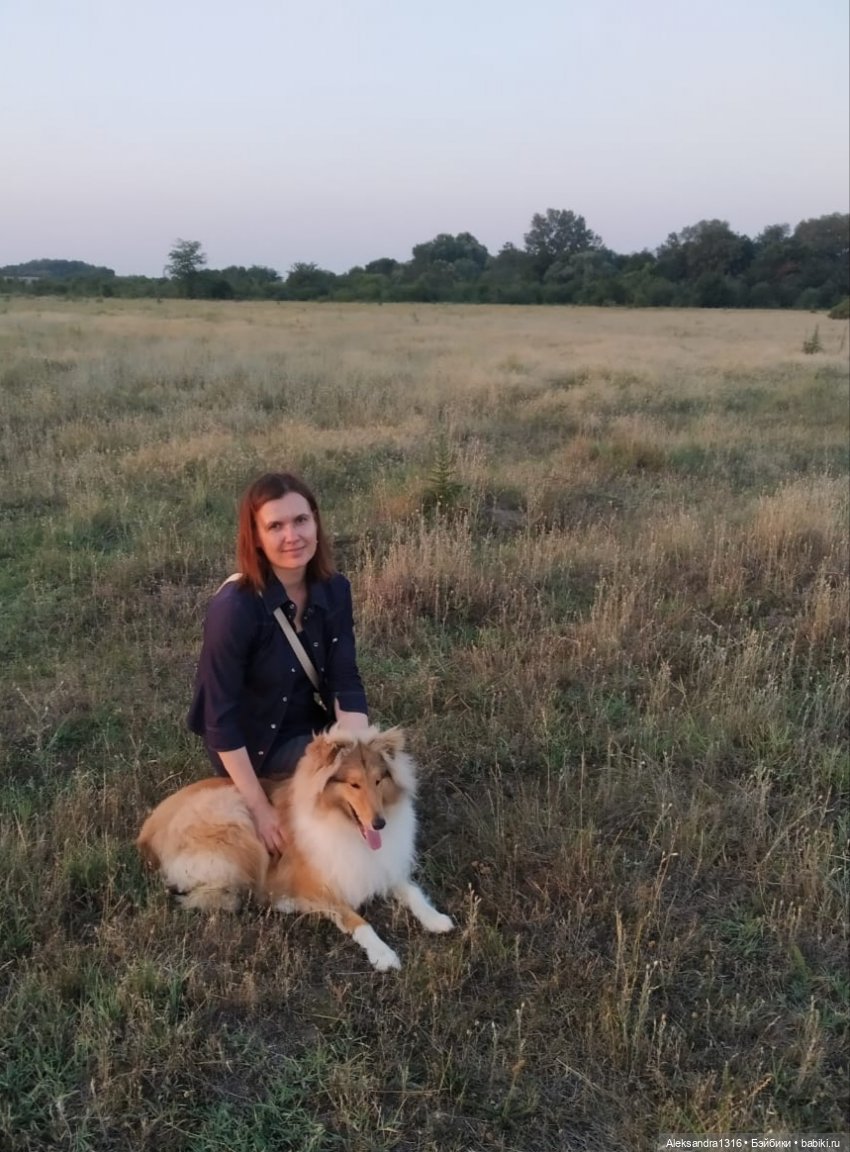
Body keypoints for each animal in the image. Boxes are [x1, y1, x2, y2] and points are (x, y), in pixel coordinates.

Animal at [136, 725, 454, 970]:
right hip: (236, 821)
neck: (345, 826)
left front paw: (435, 919)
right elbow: (357, 920)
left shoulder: (380, 866)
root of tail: (146, 831)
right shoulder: (319, 884)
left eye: (378, 780)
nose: (380, 824)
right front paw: (383, 954)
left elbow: (411, 890)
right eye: (354, 784)